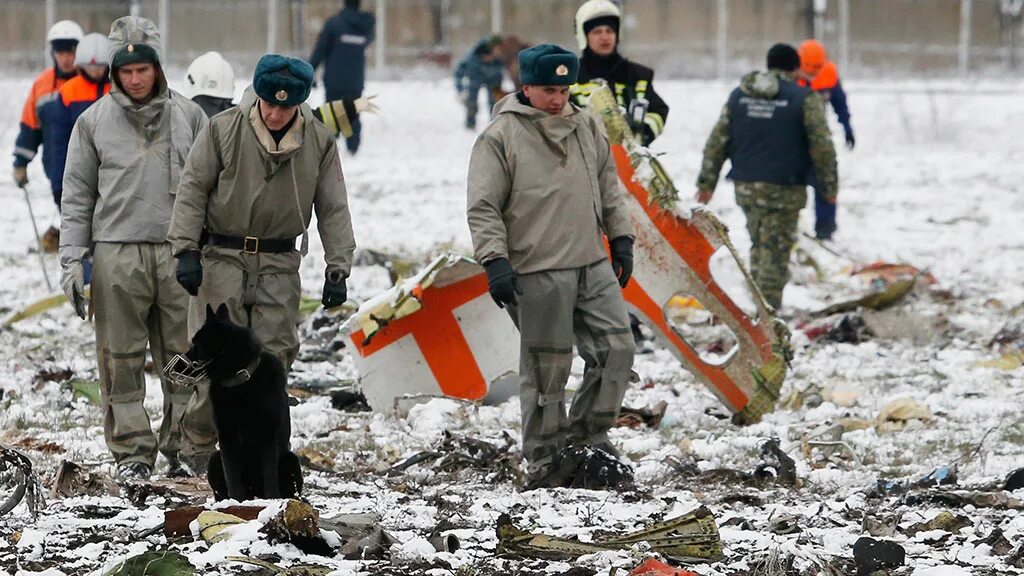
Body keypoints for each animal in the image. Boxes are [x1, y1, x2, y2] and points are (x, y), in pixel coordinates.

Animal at [186, 305, 301, 498]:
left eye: (196, 343)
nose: (180, 360)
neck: (240, 380)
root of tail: (254, 491)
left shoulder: (267, 433)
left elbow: (269, 472)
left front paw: (271, 499)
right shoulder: (227, 435)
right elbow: (232, 474)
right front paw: (236, 501)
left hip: (291, 460)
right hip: (214, 460)